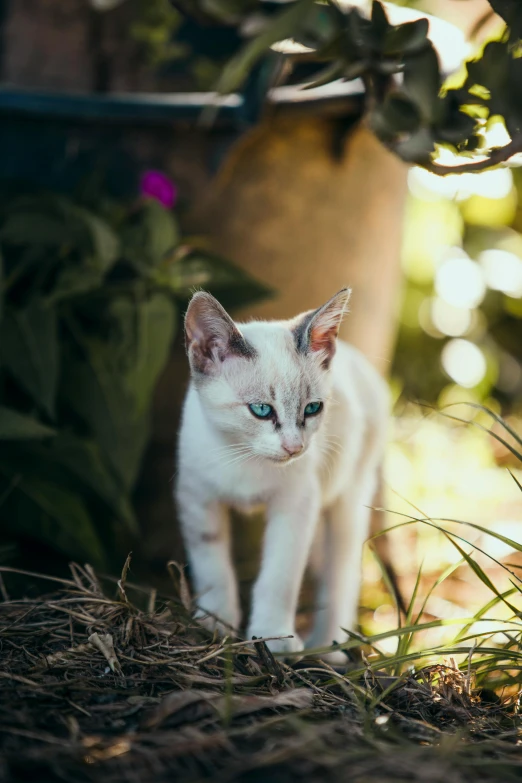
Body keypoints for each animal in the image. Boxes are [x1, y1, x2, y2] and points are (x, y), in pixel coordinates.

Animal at [175, 288, 386, 660]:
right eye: (261, 410)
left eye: (312, 409)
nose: (294, 447)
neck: (244, 458)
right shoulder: (196, 495)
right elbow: (211, 566)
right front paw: (216, 623)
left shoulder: (297, 502)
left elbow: (279, 576)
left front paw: (273, 637)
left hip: (349, 493)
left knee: (341, 574)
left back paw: (327, 647)